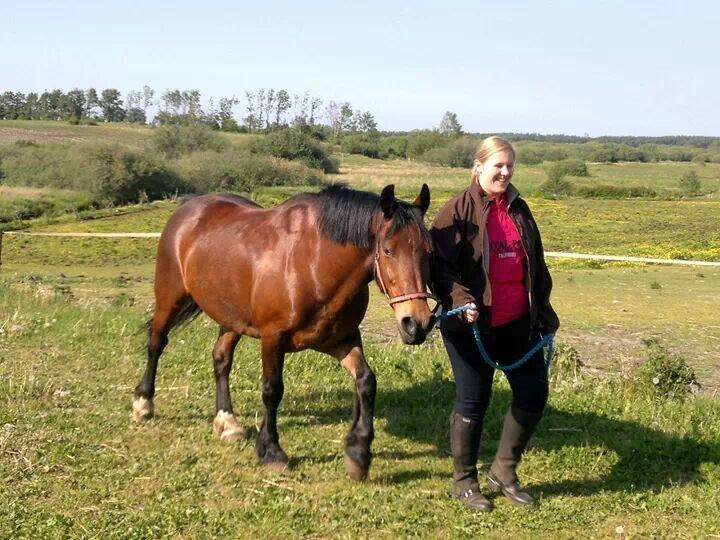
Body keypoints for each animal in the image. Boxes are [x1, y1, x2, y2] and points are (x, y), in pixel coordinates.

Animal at [132, 184, 436, 478]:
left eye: (428, 251)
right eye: (388, 250)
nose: (416, 323)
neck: (313, 264)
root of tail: (189, 208)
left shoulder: (343, 339)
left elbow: (366, 382)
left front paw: (358, 453)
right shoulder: (272, 338)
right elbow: (272, 390)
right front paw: (271, 451)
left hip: (231, 318)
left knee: (221, 358)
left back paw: (227, 422)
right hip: (169, 298)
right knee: (156, 343)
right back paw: (143, 404)